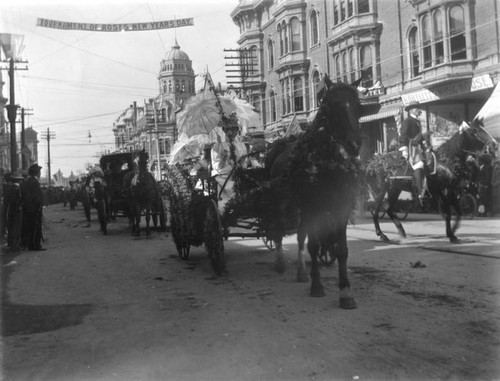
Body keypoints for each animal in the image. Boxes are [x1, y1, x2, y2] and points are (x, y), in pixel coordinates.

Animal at [268, 78, 362, 308]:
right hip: (282, 202)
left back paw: (302, 271)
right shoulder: (312, 206)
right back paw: (280, 262)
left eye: (358, 106)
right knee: (278, 231)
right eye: (332, 107)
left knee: (300, 234)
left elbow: (341, 250)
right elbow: (314, 243)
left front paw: (345, 293)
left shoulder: (341, 207)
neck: (326, 162)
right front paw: (317, 286)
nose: (355, 144)